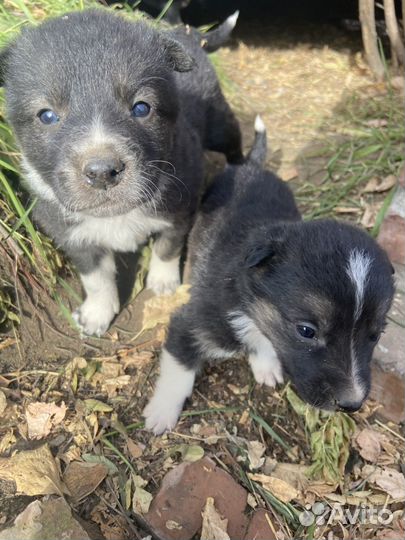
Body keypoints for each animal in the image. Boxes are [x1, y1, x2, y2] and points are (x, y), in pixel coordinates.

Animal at [0, 8, 240, 336]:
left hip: (218, 121)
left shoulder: (182, 205)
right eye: (46, 115)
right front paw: (96, 314)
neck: (116, 216)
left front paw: (163, 283)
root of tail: (187, 33)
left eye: (141, 108)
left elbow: (168, 246)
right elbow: (95, 278)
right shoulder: (73, 235)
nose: (102, 171)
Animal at [144, 116, 392, 432]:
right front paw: (161, 413)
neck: (249, 304)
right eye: (306, 331)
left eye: (376, 335)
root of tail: (252, 167)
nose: (352, 404)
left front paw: (265, 364)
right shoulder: (190, 322)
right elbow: (179, 368)